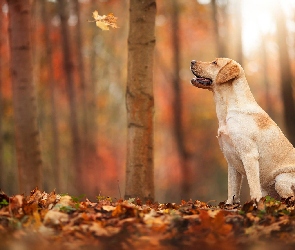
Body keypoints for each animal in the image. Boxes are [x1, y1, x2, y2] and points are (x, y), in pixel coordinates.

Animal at [191, 58, 295, 203]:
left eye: (214, 63)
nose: (192, 61)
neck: (227, 109)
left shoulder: (249, 154)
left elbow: (253, 186)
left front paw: (255, 203)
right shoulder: (230, 160)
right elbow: (232, 188)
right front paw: (229, 204)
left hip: (281, 180)